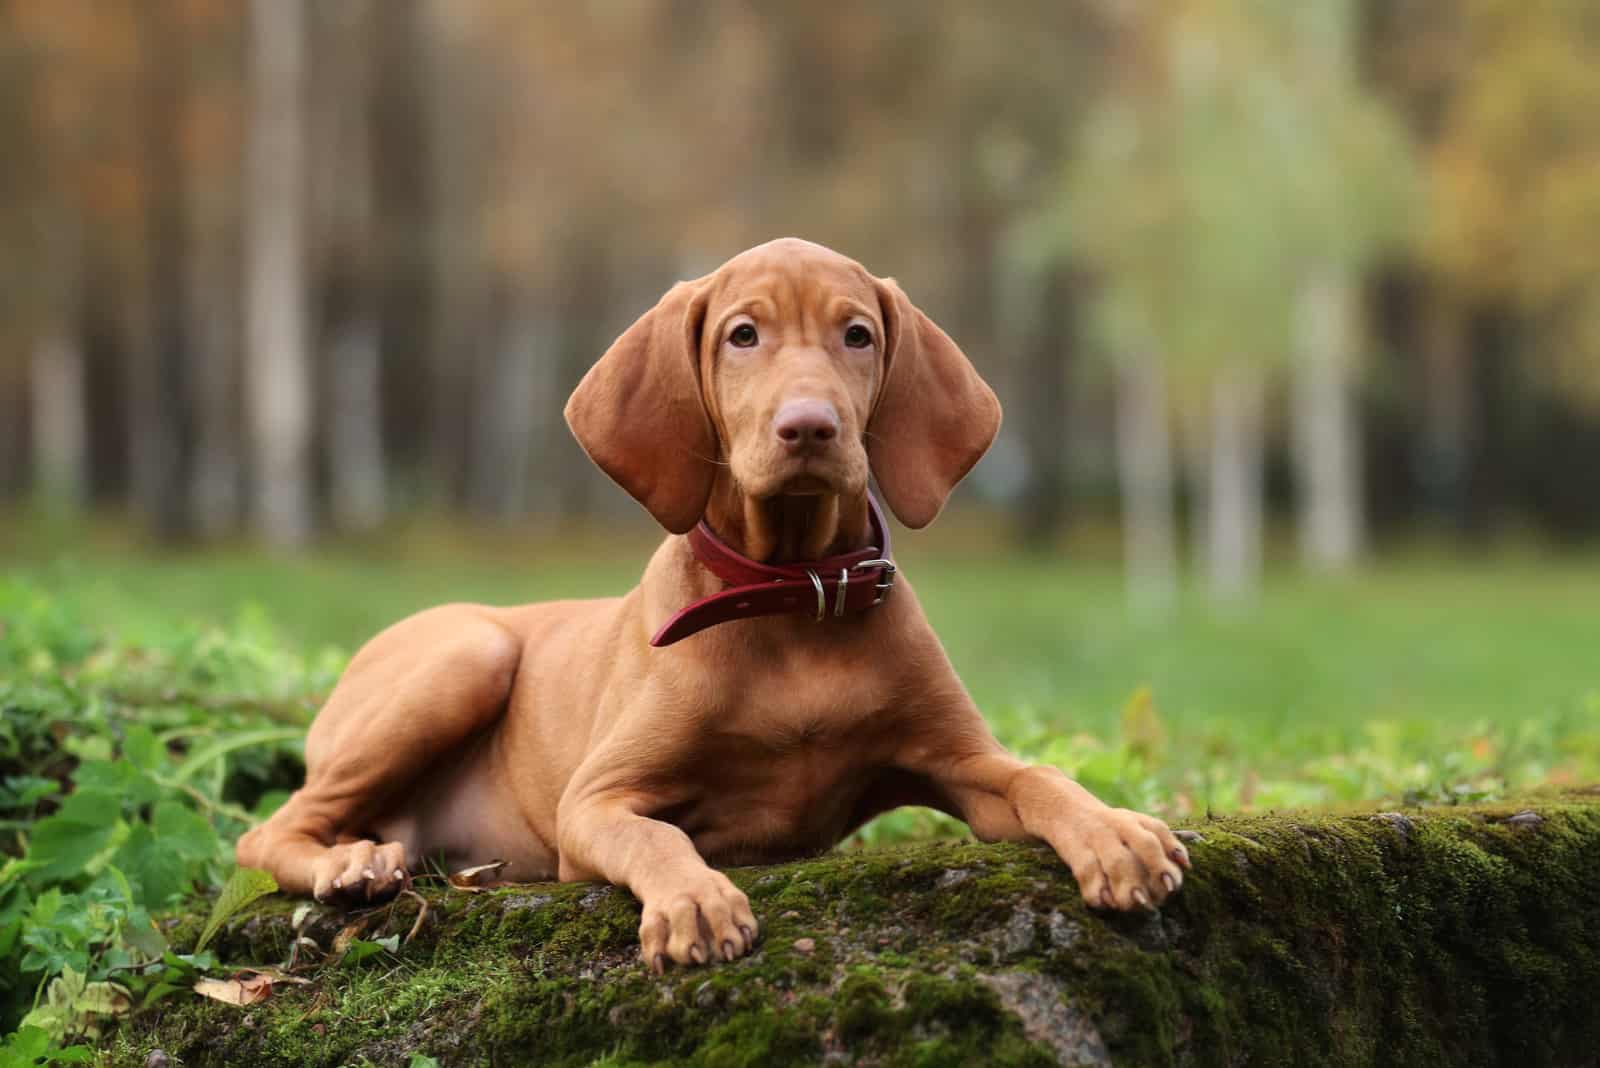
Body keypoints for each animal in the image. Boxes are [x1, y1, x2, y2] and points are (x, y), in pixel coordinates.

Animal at [236, 238, 1190, 972]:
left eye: (857, 334)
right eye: (743, 335)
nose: (810, 427)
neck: (794, 596)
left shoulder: (962, 762)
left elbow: (1037, 775)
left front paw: (1116, 833)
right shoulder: (595, 802)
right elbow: (657, 837)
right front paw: (696, 899)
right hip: (469, 652)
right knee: (267, 830)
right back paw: (354, 864)